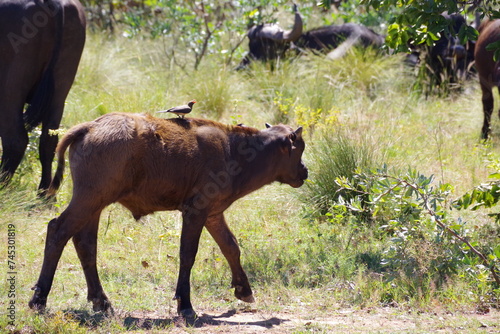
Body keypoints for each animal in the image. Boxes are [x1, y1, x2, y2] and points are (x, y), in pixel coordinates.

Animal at [28, 113, 308, 318]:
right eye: (299, 148)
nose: (304, 171)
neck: (234, 150)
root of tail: (89, 127)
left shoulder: (213, 214)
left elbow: (231, 246)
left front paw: (244, 291)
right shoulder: (195, 212)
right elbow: (188, 255)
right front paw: (185, 306)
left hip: (94, 206)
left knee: (85, 244)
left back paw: (102, 302)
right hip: (89, 200)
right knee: (58, 230)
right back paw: (38, 300)